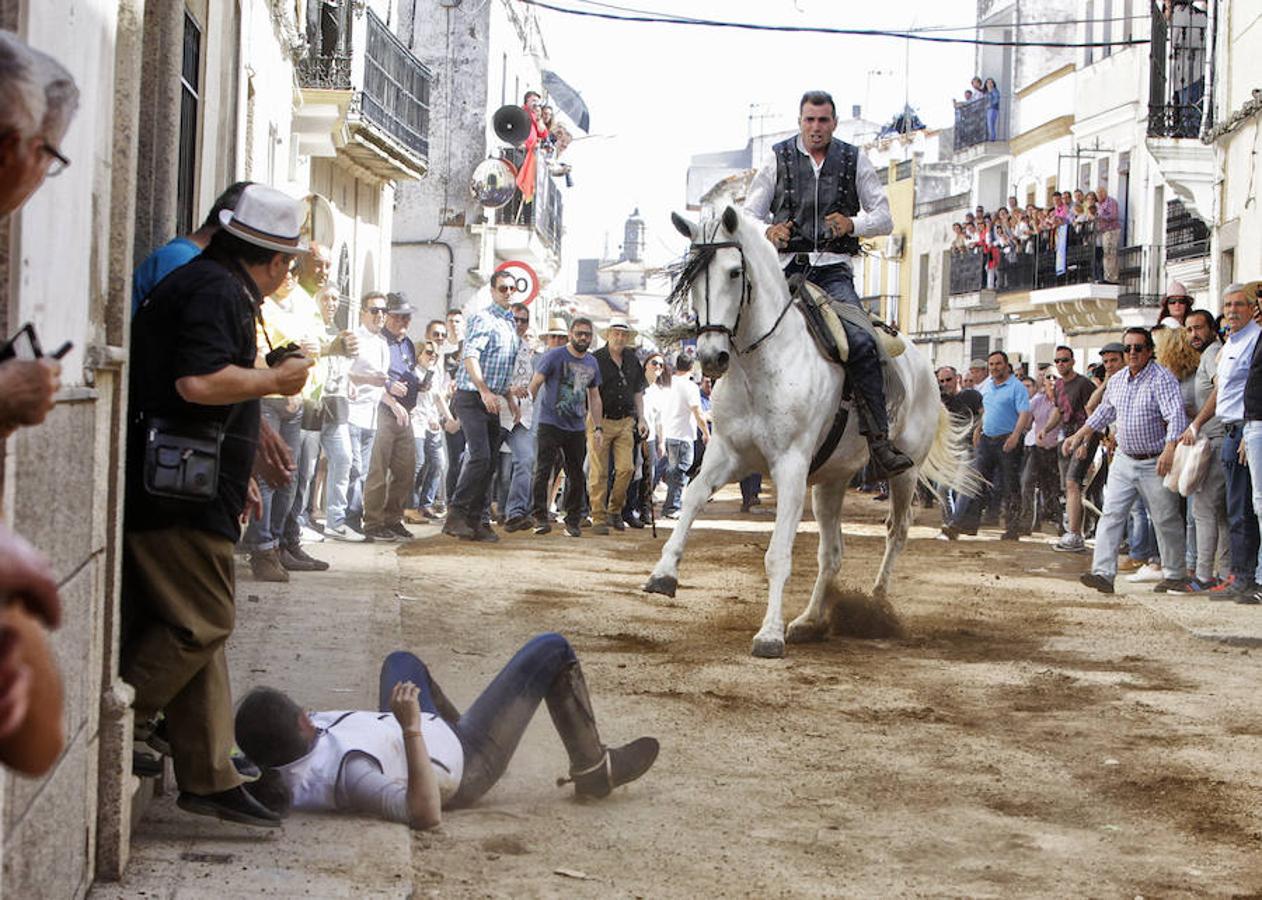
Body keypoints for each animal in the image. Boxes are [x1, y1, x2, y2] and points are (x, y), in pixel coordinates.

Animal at [646, 207, 979, 656]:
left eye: (734, 272)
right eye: (692, 278)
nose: (712, 357)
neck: (762, 365)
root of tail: (925, 369)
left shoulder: (790, 466)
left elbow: (777, 555)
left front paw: (769, 634)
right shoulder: (727, 454)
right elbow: (694, 497)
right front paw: (663, 573)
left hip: (903, 472)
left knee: (897, 531)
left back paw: (876, 604)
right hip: (830, 482)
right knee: (832, 554)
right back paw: (809, 620)